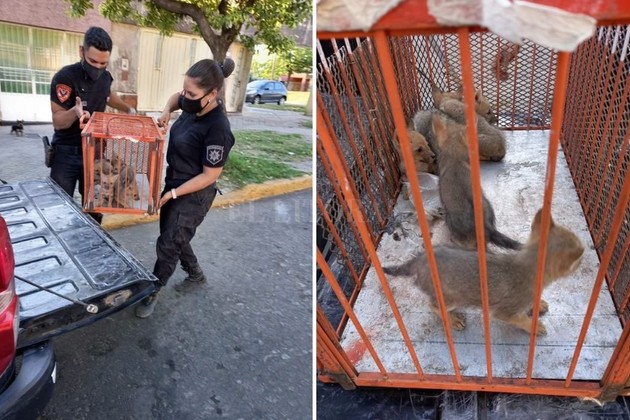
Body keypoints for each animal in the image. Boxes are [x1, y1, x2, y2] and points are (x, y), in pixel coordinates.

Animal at [383, 208, 585, 335]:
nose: (583, 255)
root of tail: (420, 259)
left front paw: (538, 304)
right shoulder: (504, 312)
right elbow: (520, 319)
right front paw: (533, 326)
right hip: (452, 297)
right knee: (433, 306)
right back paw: (452, 319)